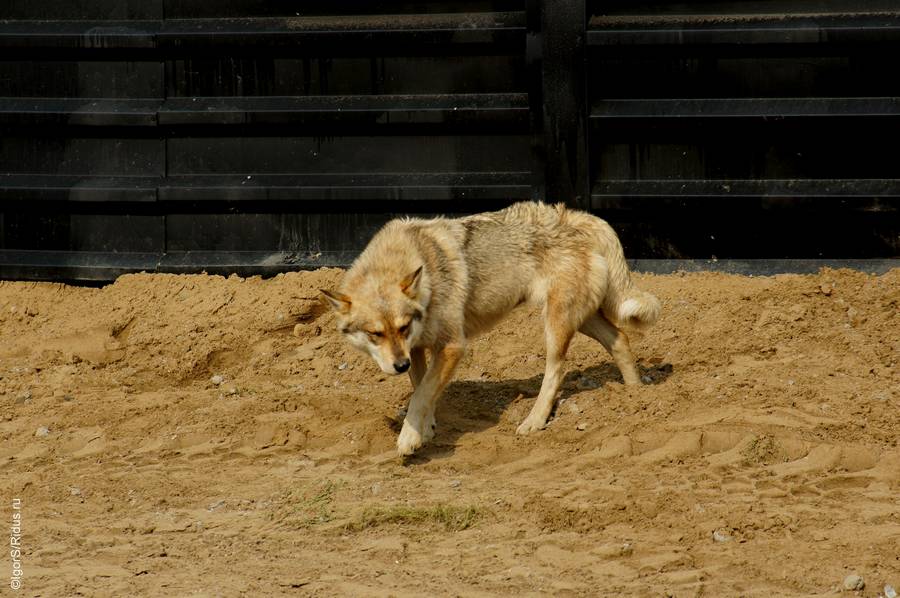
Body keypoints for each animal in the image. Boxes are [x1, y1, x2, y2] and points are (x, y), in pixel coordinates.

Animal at [320, 203, 656, 460]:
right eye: (375, 334)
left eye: (402, 327)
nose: (398, 366)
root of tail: (577, 216)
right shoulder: (417, 348)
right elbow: (421, 391)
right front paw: (425, 431)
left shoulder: (452, 346)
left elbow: (422, 394)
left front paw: (408, 439)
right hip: (582, 319)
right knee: (620, 339)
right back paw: (636, 397)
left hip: (556, 323)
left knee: (557, 370)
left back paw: (534, 421)